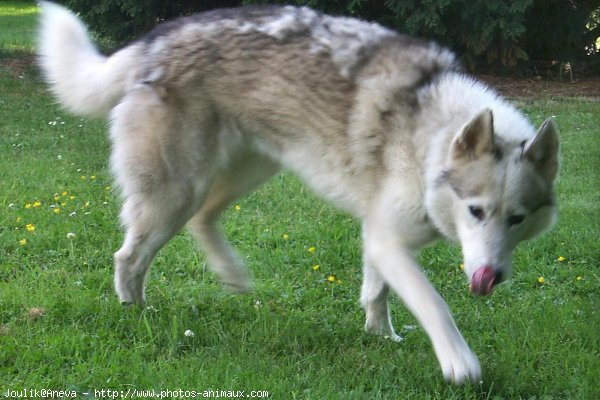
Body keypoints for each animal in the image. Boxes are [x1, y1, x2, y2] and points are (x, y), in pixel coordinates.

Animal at [39, 2, 560, 384]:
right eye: (475, 211)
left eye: (516, 219)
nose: (492, 277)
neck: (429, 137)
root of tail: (155, 40)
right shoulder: (390, 242)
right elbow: (435, 305)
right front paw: (459, 362)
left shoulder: (379, 237)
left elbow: (376, 293)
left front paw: (381, 337)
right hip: (175, 192)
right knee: (129, 257)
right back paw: (135, 312)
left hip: (249, 171)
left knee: (203, 219)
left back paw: (232, 275)